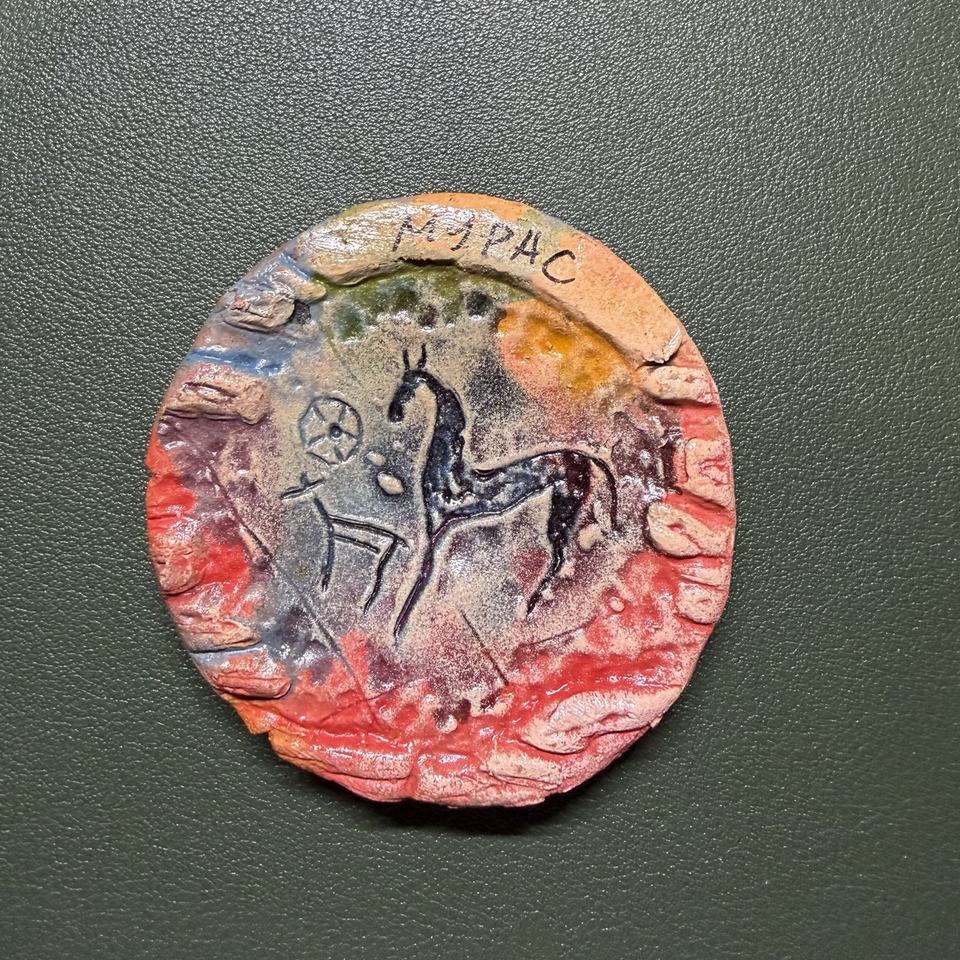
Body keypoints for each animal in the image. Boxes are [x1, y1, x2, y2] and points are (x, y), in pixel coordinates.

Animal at [387, 346, 618, 641]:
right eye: (398, 383)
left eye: (407, 385)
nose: (394, 414)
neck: (447, 469)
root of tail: (584, 456)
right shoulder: (436, 528)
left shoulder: (437, 527)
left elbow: (422, 577)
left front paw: (398, 630)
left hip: (563, 508)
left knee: (560, 558)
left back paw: (529, 606)